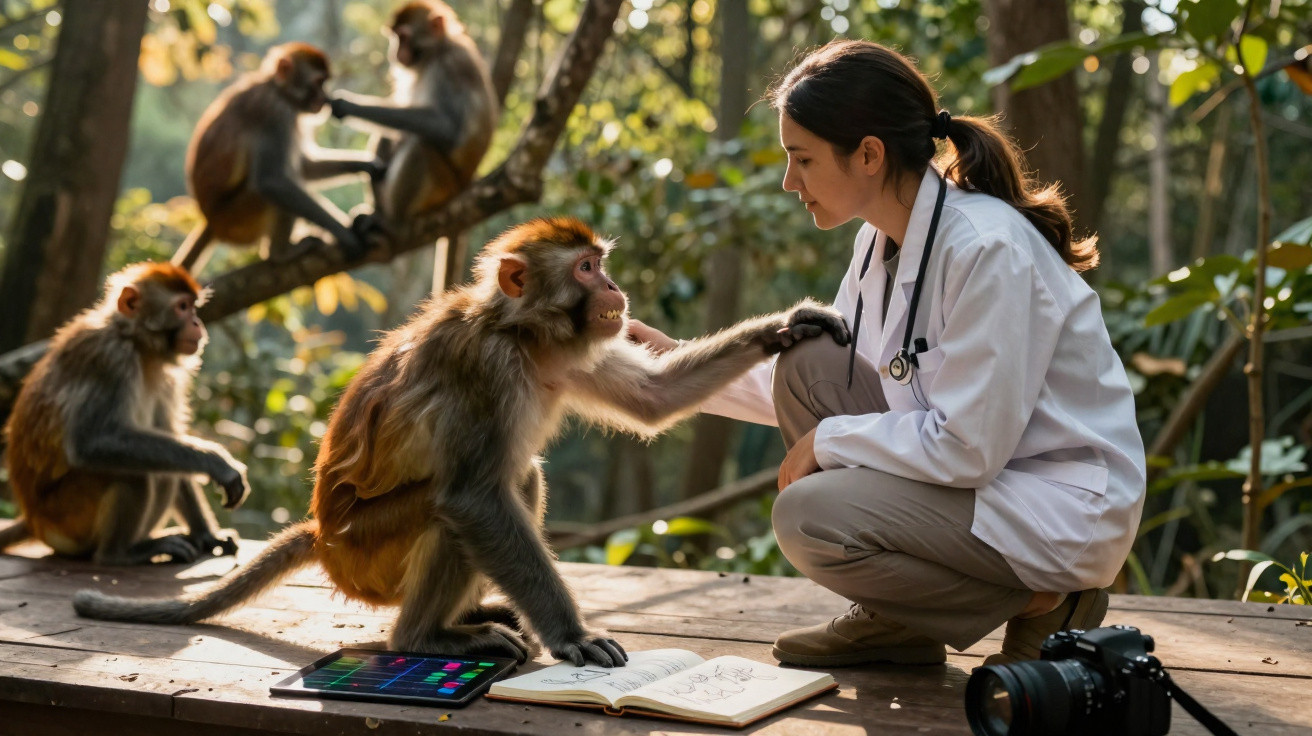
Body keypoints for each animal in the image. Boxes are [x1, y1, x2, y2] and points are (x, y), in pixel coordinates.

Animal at [2, 263, 250, 565]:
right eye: (182, 307)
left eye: (193, 307)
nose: (197, 323)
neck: (139, 346)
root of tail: (34, 520)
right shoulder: (108, 359)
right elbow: (91, 442)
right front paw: (216, 461)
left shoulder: (168, 378)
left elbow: (169, 435)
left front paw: (207, 535)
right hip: (66, 521)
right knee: (133, 473)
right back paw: (119, 554)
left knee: (163, 465)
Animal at [73, 217, 850, 667]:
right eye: (586, 268)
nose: (615, 288)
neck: (524, 334)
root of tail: (321, 531)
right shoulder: (486, 369)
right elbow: (473, 498)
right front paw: (570, 636)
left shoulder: (571, 355)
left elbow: (655, 399)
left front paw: (789, 325)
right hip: (365, 555)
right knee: (458, 507)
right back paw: (423, 637)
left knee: (521, 481)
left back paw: (468, 614)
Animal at [172, 42, 386, 274]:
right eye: (318, 83)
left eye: (324, 83)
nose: (323, 98)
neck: (278, 90)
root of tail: (211, 221)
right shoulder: (275, 113)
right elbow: (272, 180)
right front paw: (345, 235)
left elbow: (305, 167)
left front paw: (366, 165)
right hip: (238, 221)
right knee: (272, 187)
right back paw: (280, 254)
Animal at [328, 0, 498, 228]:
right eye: (394, 36)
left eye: (404, 37)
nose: (394, 52)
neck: (433, 53)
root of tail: (465, 184)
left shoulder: (451, 66)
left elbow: (447, 128)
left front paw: (347, 105)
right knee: (389, 135)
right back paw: (377, 210)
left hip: (442, 188)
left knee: (419, 145)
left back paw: (390, 219)